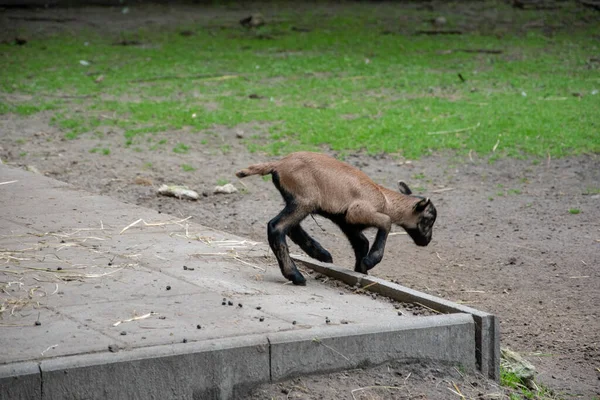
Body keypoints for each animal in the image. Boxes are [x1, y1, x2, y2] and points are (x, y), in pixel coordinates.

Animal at [237, 152, 438, 286]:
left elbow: (362, 243)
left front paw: (361, 270)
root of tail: (279, 164)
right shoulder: (358, 211)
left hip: (297, 200)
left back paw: (321, 254)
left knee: (291, 228)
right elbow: (386, 222)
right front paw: (370, 261)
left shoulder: (347, 222)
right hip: (305, 199)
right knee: (276, 226)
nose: (427, 241)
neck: (386, 200)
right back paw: (296, 275)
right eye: (429, 219)